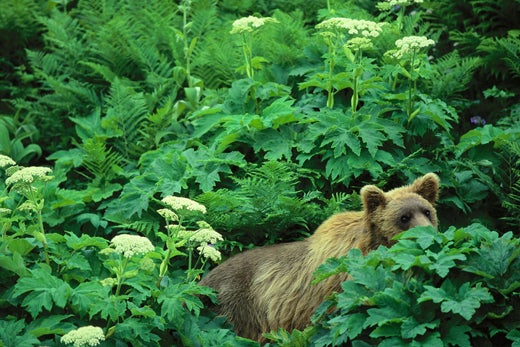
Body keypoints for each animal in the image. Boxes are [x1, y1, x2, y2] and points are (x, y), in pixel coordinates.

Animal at [198, 173, 438, 342]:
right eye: (404, 217)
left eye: (427, 211)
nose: (429, 234)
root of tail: (202, 281)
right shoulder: (338, 286)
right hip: (235, 305)